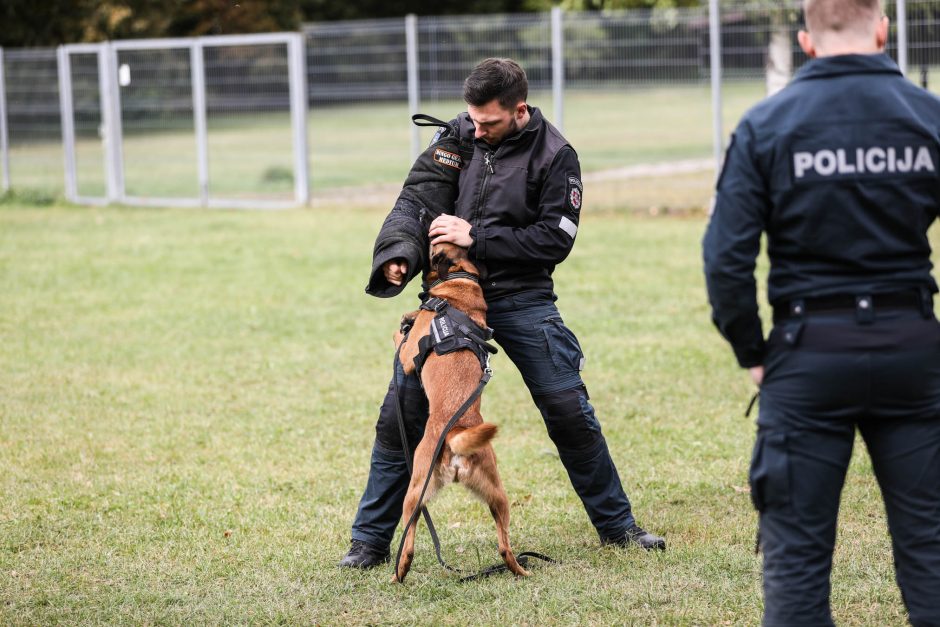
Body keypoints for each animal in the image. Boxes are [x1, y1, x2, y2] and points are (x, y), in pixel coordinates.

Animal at [390, 242, 528, 584]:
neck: (461, 277)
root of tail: (456, 433)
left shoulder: (408, 356)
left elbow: (400, 338)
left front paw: (407, 318)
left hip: (416, 489)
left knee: (409, 537)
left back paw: (399, 573)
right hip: (498, 495)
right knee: (504, 546)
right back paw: (521, 570)